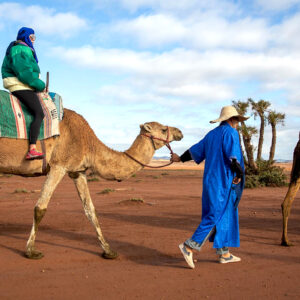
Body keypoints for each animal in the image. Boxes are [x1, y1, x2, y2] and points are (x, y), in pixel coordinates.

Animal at [0, 109, 183, 258]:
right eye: (163, 129)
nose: (180, 131)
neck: (88, 143)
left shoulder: (77, 171)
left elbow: (90, 210)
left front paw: (109, 251)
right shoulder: (59, 165)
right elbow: (40, 208)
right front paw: (31, 251)